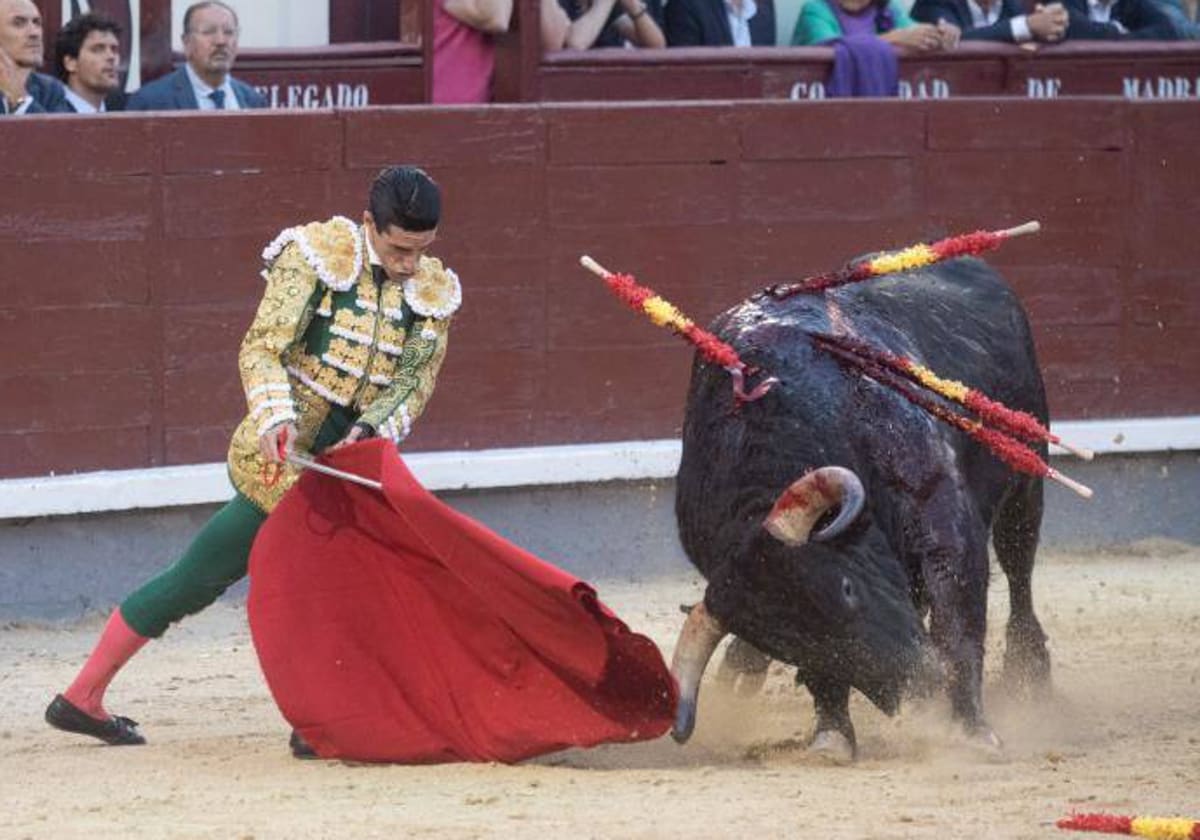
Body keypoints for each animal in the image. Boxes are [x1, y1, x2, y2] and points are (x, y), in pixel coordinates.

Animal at [676, 254, 1051, 753]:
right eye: (789, 645)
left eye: (847, 588)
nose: (918, 686)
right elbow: (822, 678)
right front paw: (832, 735)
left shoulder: (938, 510)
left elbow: (958, 609)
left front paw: (971, 729)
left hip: (1026, 479)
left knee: (1018, 569)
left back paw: (1030, 674)